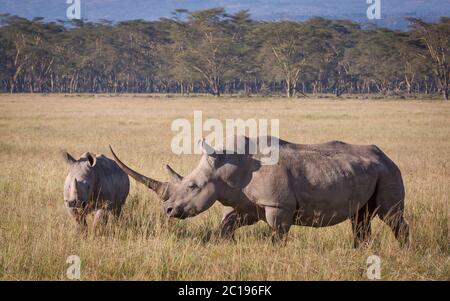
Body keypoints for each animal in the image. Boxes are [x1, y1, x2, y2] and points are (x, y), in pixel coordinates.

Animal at [109, 137, 408, 247]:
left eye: (192, 186)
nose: (168, 210)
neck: (227, 167)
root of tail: (387, 156)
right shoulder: (250, 204)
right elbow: (227, 221)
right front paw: (226, 244)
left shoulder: (278, 205)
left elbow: (278, 233)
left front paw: (277, 252)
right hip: (370, 170)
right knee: (361, 217)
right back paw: (360, 250)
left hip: (389, 171)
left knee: (390, 215)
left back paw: (403, 250)